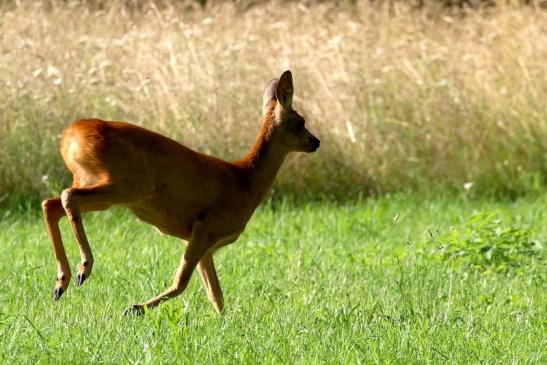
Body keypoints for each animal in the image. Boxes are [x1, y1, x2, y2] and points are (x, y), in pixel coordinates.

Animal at [41, 70, 322, 312]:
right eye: (301, 121)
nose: (316, 142)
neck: (245, 181)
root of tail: (72, 136)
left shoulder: (204, 243)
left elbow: (216, 294)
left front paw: (223, 324)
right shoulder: (205, 227)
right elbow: (181, 284)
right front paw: (134, 309)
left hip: (98, 183)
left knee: (51, 203)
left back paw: (61, 283)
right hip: (126, 186)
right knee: (67, 197)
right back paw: (83, 268)